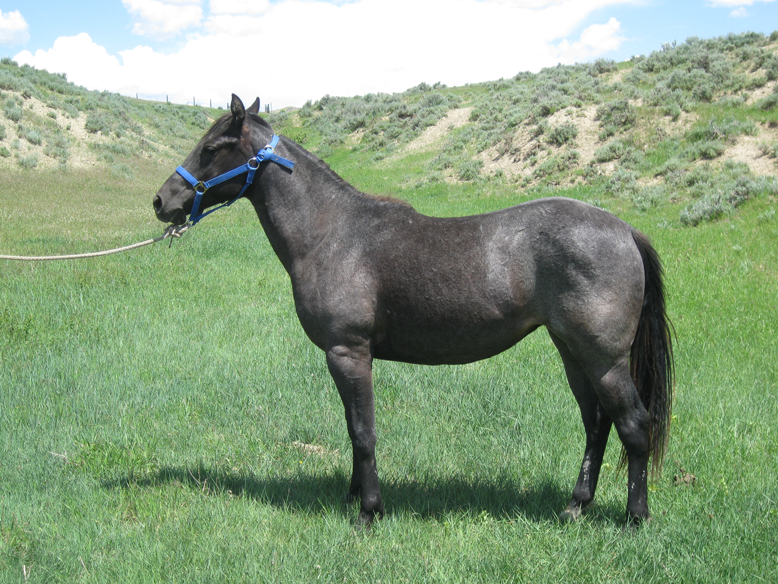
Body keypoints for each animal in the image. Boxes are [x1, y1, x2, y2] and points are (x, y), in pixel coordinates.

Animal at [153, 94, 672, 524]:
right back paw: (575, 507)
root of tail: (625, 230)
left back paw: (635, 517)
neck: (332, 233)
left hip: (603, 360)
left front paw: (369, 511)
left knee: (633, 426)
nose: (162, 201)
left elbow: (364, 432)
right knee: (596, 424)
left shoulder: (347, 353)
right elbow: (352, 430)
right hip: (572, 352)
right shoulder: (346, 358)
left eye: (211, 148)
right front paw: (353, 496)